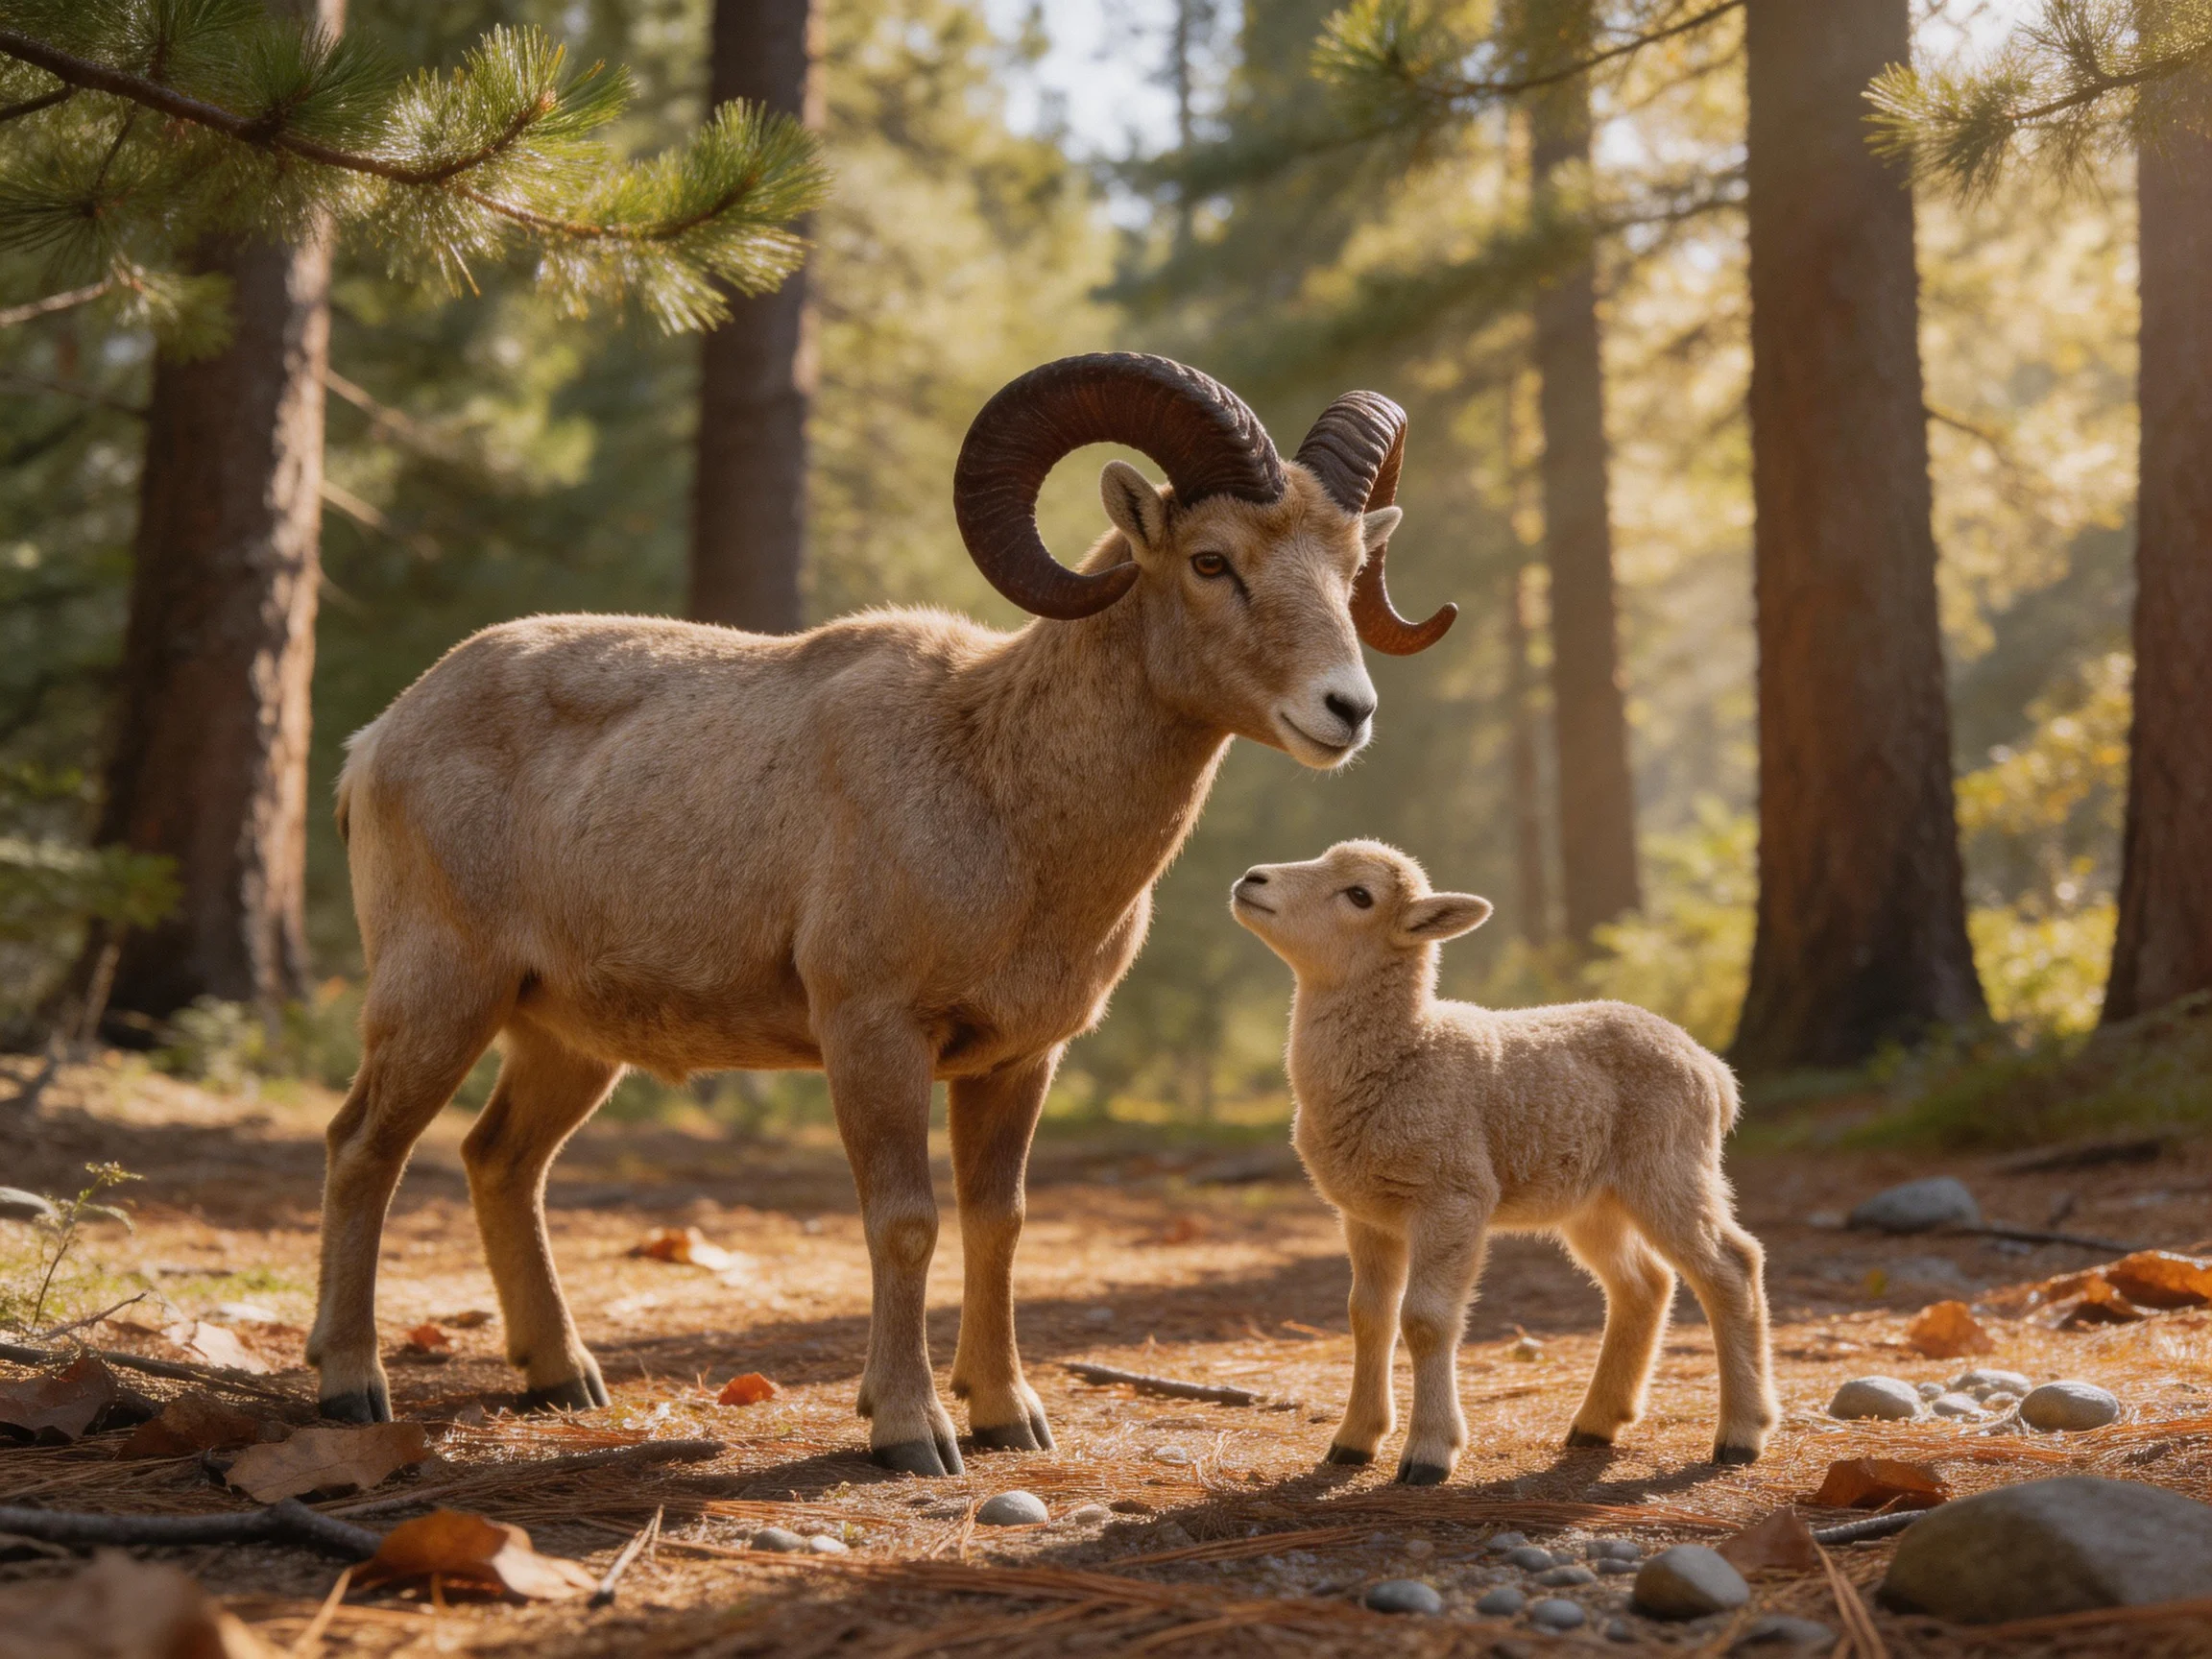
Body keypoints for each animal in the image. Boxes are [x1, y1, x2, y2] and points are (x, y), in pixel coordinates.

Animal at [306, 354, 1457, 1475]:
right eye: (1213, 561)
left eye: (1349, 569)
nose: (1345, 711)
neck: (1003, 793)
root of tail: (378, 742)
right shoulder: (874, 1034)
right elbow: (905, 1222)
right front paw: (911, 1432)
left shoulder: (1016, 1062)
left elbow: (998, 1224)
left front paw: (1006, 1417)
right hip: (440, 996)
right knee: (363, 1147)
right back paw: (351, 1386)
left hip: (564, 1042)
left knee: (501, 1161)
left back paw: (563, 1379)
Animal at [1230, 840, 1777, 1484]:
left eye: (1359, 895)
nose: (1251, 877)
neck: (1406, 1050)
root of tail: (1713, 1069)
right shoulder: (1364, 1210)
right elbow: (1368, 1317)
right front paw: (1354, 1441)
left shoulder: (1454, 1194)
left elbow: (1425, 1318)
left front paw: (1429, 1452)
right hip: (1594, 1197)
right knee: (1644, 1284)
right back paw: (1597, 1423)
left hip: (1669, 1163)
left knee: (1731, 1267)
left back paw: (1741, 1434)